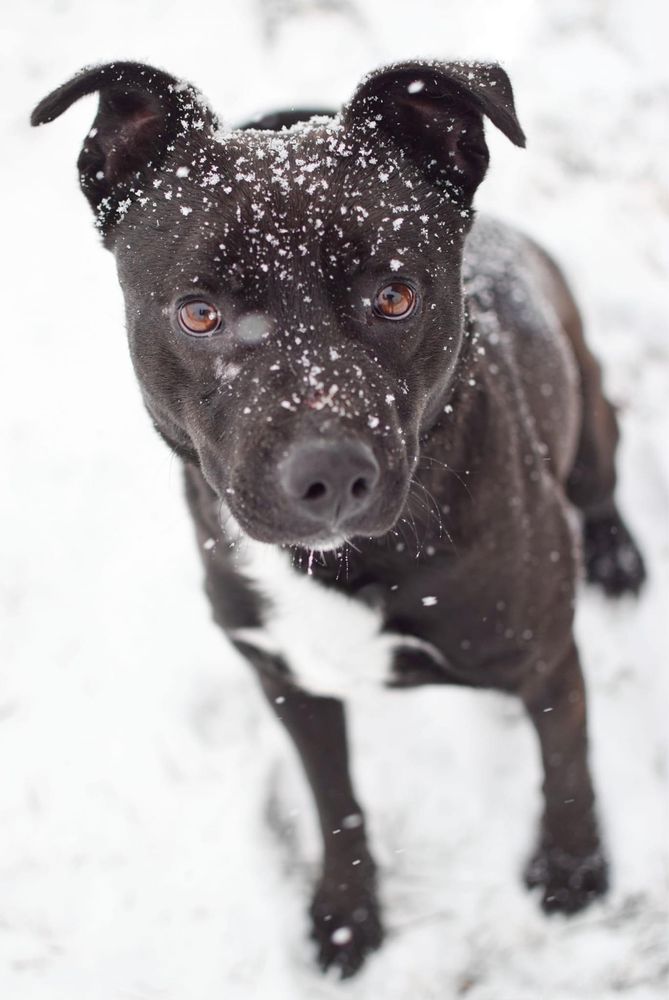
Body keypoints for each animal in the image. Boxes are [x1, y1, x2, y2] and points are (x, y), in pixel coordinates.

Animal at [32, 60, 648, 976]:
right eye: (199, 312)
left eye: (394, 296)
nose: (327, 475)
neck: (354, 563)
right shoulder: (289, 682)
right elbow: (336, 804)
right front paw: (348, 913)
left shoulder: (543, 659)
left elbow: (565, 768)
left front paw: (572, 868)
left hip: (590, 410)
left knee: (600, 483)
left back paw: (614, 555)